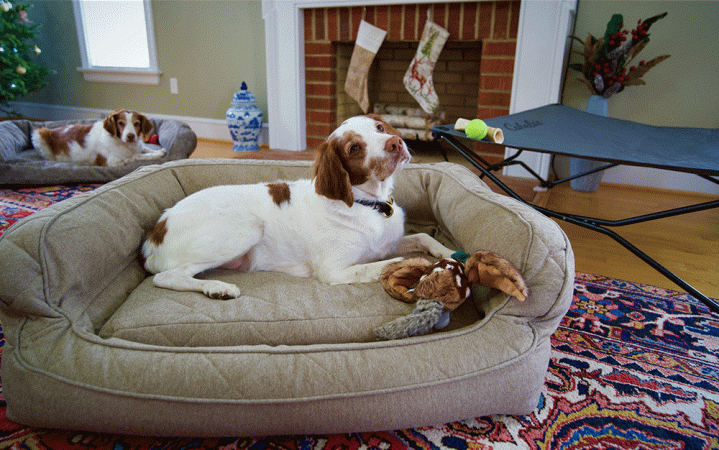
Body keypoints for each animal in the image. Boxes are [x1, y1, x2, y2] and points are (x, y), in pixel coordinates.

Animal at [31, 109, 167, 167]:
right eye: (121, 123)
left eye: (137, 123)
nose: (130, 136)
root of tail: (52, 130)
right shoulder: (112, 161)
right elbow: (136, 156)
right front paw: (158, 154)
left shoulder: (137, 145)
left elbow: (144, 148)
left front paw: (159, 150)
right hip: (39, 134)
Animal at [141, 114, 456, 300]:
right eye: (354, 148)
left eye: (379, 128)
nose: (396, 142)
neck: (368, 204)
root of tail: (155, 232)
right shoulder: (333, 271)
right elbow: (390, 263)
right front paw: (424, 266)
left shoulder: (388, 243)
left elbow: (423, 237)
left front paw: (451, 252)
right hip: (246, 229)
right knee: (166, 277)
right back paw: (217, 287)